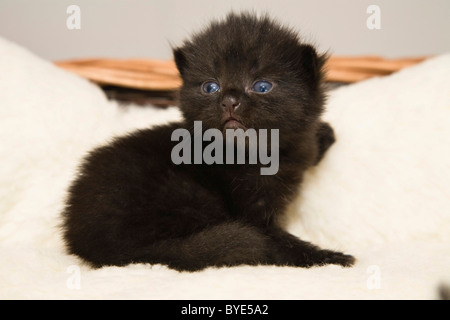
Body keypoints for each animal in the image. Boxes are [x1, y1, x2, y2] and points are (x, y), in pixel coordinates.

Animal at [60, 13, 356, 272]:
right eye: (210, 87)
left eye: (262, 86)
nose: (229, 100)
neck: (259, 154)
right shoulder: (253, 217)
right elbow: (280, 244)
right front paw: (331, 258)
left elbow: (307, 145)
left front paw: (324, 133)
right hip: (188, 195)